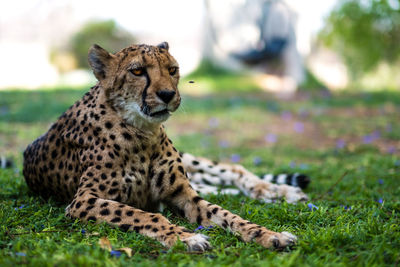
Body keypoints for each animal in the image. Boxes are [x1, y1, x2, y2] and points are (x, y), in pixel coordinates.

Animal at [22, 43, 306, 252]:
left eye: (172, 69)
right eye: (137, 71)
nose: (168, 95)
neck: (143, 132)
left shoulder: (184, 195)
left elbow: (227, 214)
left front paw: (268, 234)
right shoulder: (83, 201)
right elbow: (143, 215)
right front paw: (186, 237)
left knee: (233, 170)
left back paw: (282, 191)